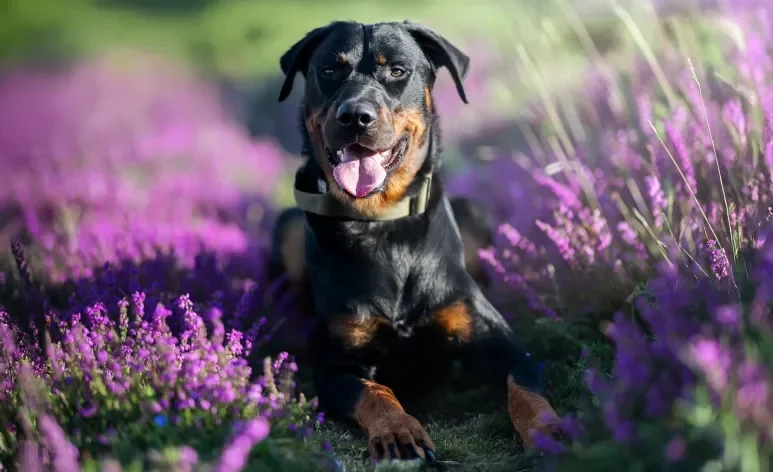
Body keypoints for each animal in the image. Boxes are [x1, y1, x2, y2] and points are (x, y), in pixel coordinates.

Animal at [268, 20, 556, 462]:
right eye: (329, 70)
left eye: (397, 71)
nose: (355, 116)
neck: (381, 225)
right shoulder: (338, 364)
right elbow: (375, 391)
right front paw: (399, 430)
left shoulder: (504, 344)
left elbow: (525, 390)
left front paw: (551, 431)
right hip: (287, 228)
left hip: (475, 212)